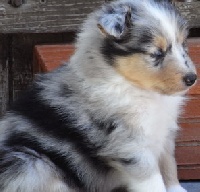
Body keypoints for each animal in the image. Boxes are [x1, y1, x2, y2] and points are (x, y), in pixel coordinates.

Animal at [0, 0, 196, 192]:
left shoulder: (165, 134)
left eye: (183, 45)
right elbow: (153, 182)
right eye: (156, 53)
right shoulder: (130, 146)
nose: (192, 78)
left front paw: (176, 189)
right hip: (30, 164)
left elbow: (169, 166)